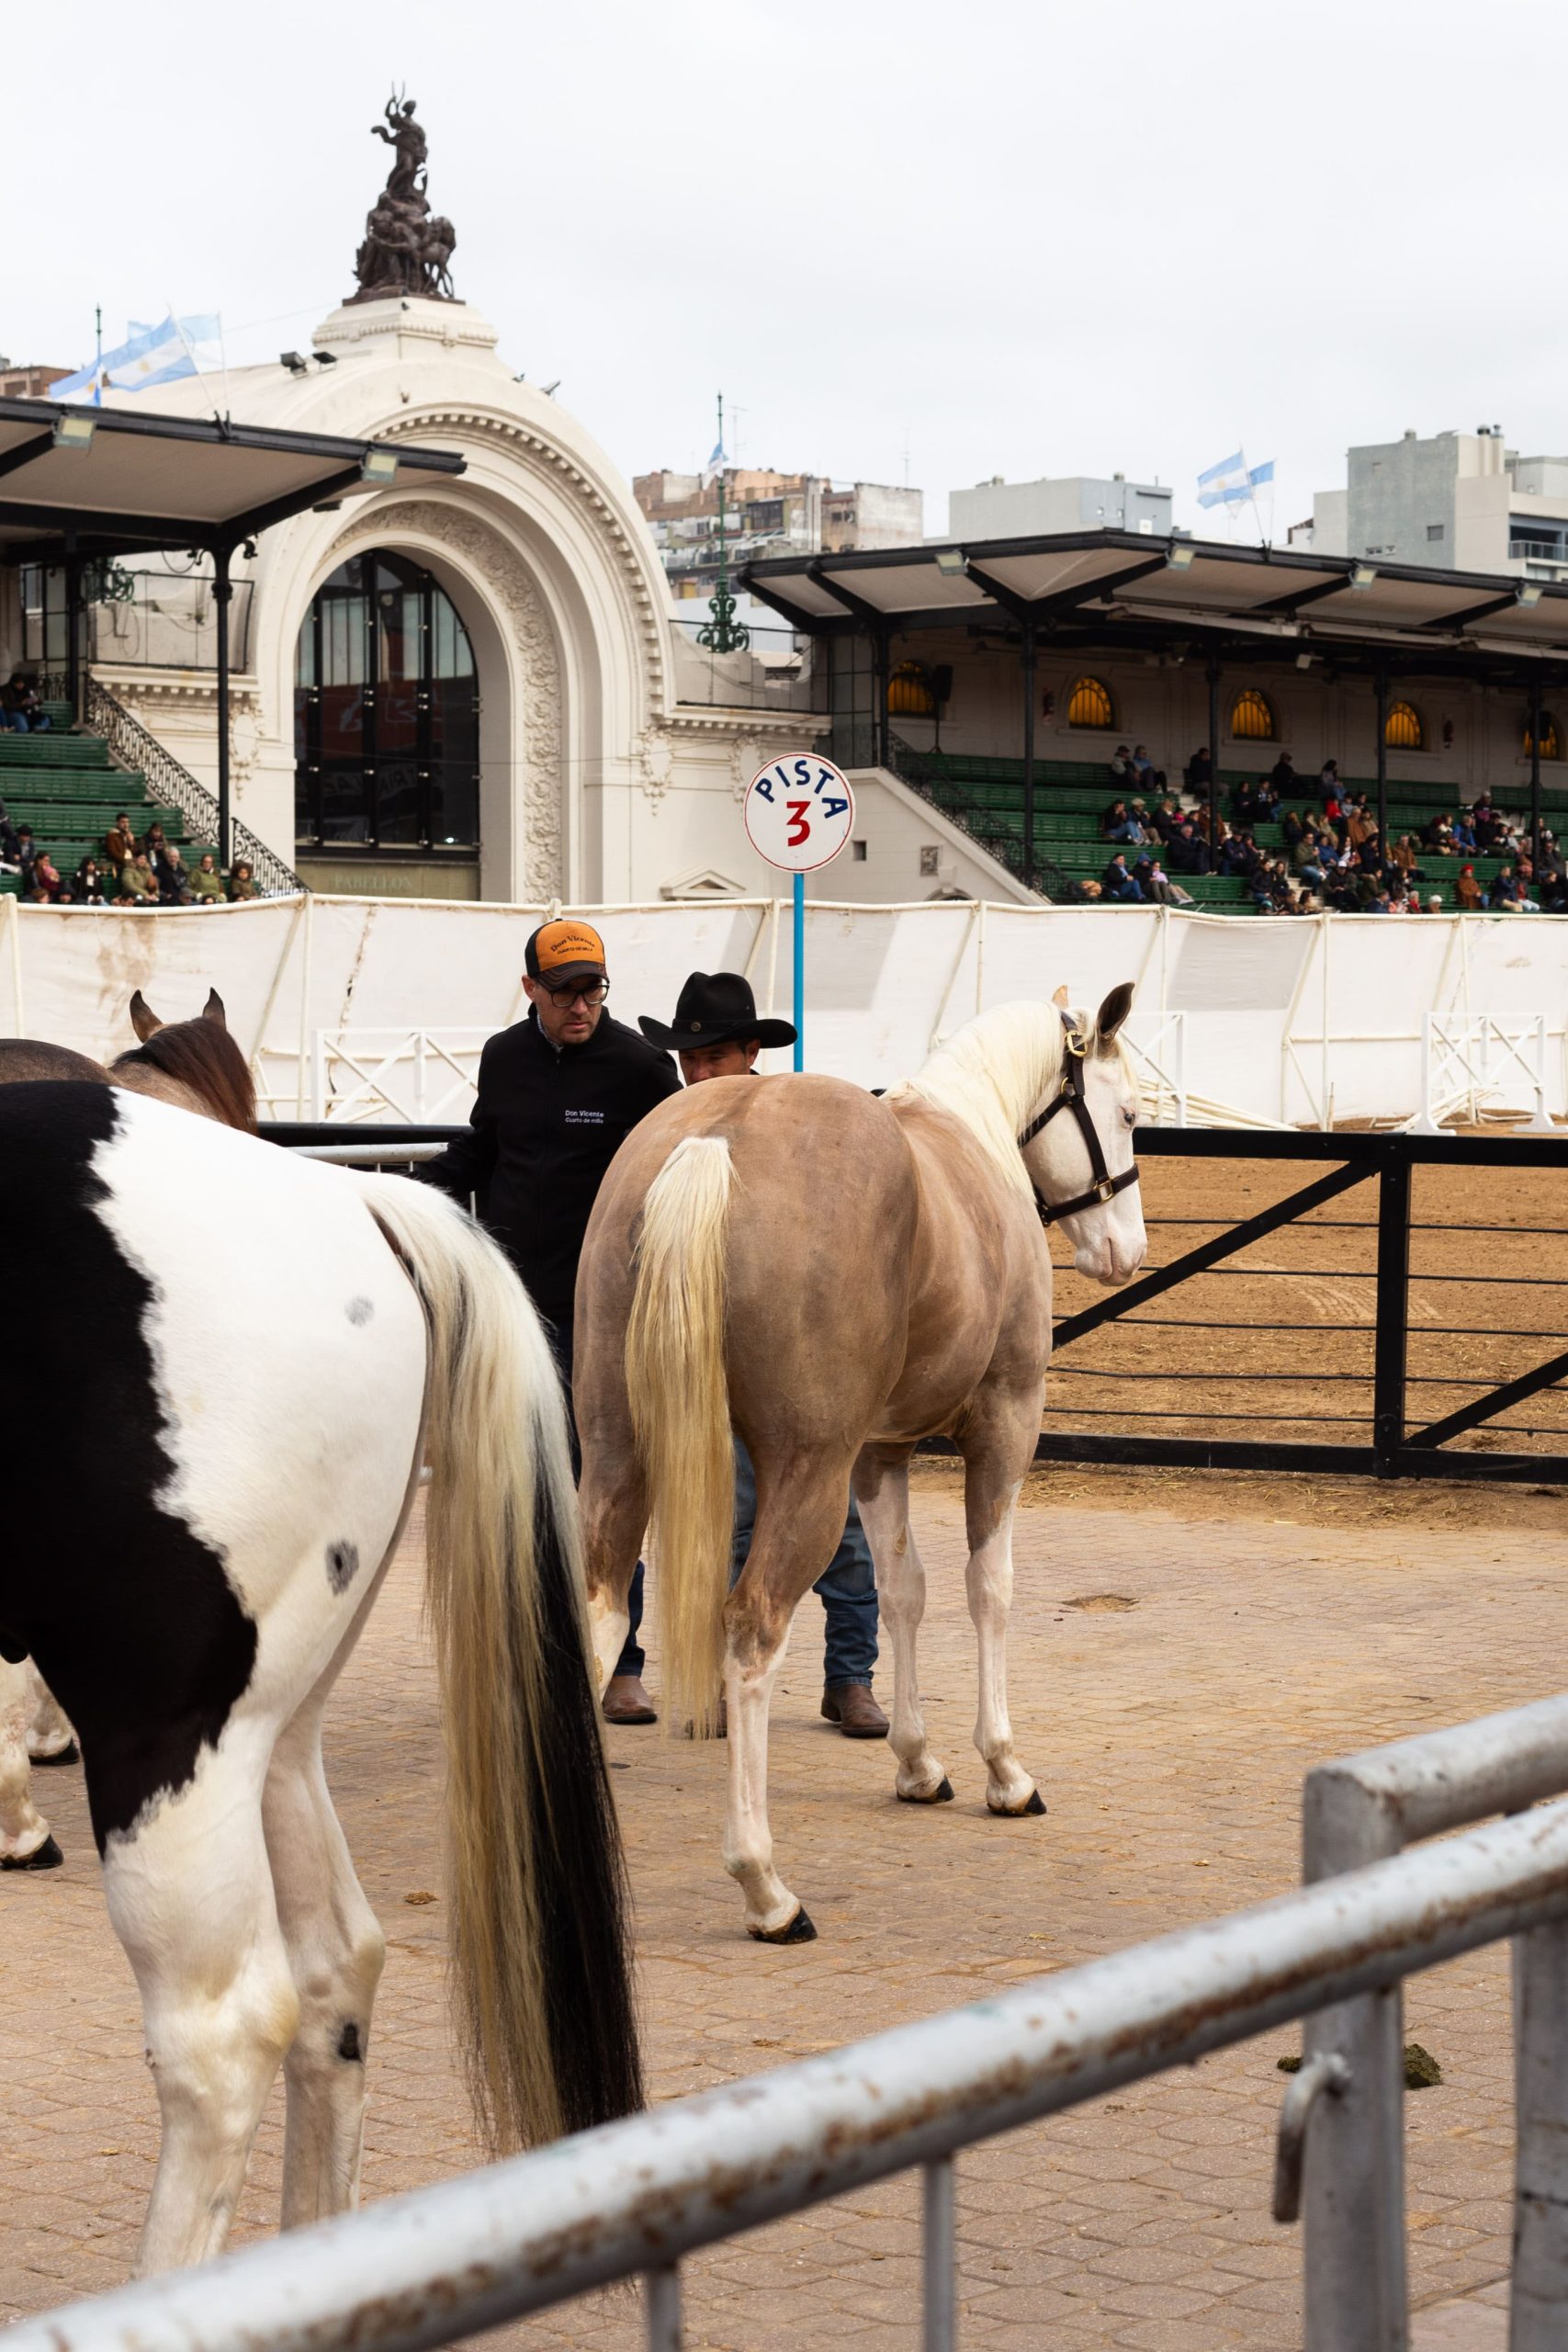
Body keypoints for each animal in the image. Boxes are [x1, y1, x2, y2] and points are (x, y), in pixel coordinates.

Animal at [574, 988, 1146, 1943]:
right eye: (1130, 1113)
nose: (1124, 1252)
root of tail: (717, 1138)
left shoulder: (882, 1452)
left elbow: (899, 1590)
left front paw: (917, 1764)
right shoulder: (1005, 1420)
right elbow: (986, 1587)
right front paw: (1004, 1772)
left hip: (620, 1457)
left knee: (601, 1615)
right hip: (807, 1473)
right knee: (751, 1630)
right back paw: (765, 1889)